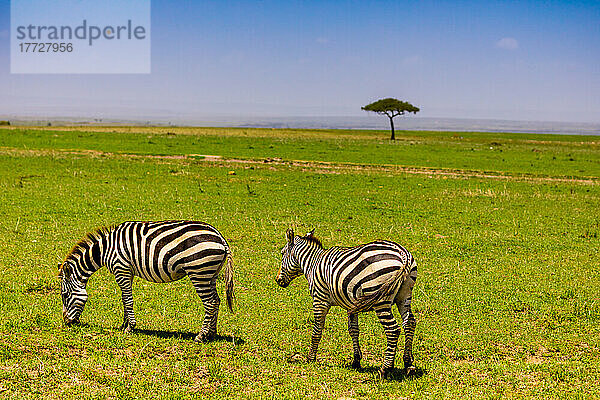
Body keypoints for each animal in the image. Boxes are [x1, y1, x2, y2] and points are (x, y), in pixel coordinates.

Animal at [56, 220, 234, 342]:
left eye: (64, 295)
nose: (66, 322)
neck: (105, 250)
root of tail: (220, 237)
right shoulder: (127, 272)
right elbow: (124, 299)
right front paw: (124, 324)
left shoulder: (121, 269)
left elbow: (128, 299)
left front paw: (130, 327)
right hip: (210, 273)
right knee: (216, 300)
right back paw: (211, 334)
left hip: (199, 271)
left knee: (210, 302)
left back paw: (201, 336)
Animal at [276, 228, 418, 378]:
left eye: (282, 253)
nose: (277, 280)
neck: (313, 263)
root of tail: (403, 254)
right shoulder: (352, 305)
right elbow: (353, 330)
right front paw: (356, 361)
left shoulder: (319, 299)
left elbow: (317, 329)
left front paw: (310, 358)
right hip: (404, 295)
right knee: (409, 323)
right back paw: (408, 364)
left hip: (381, 300)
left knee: (392, 329)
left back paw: (385, 369)